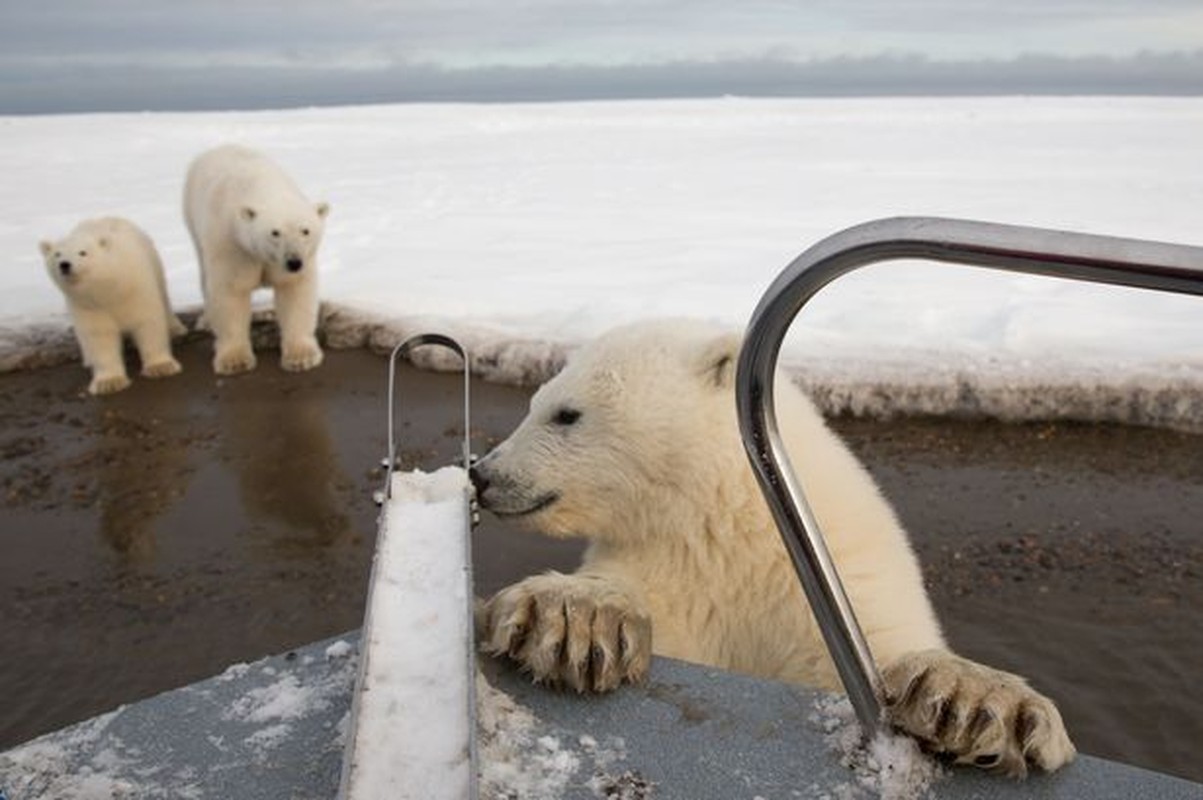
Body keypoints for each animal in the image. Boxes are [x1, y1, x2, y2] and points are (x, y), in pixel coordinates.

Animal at [40, 216, 185, 394]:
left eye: (83, 252)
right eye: (57, 254)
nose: (64, 264)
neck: (110, 288)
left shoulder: (136, 289)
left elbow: (147, 321)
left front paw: (161, 367)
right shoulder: (88, 305)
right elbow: (99, 335)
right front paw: (109, 382)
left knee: (164, 298)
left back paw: (175, 328)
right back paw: (88, 359)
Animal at [181, 143, 329, 375]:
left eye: (305, 231)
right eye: (275, 233)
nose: (294, 262)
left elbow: (295, 290)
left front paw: (301, 357)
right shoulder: (232, 244)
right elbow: (230, 292)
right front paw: (235, 361)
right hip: (192, 217)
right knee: (204, 272)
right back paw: (206, 319)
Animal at [473, 317, 1077, 774]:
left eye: (565, 413)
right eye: (535, 402)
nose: (483, 473)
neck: (733, 524)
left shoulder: (837, 584)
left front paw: (975, 703)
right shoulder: (673, 569)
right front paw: (572, 618)